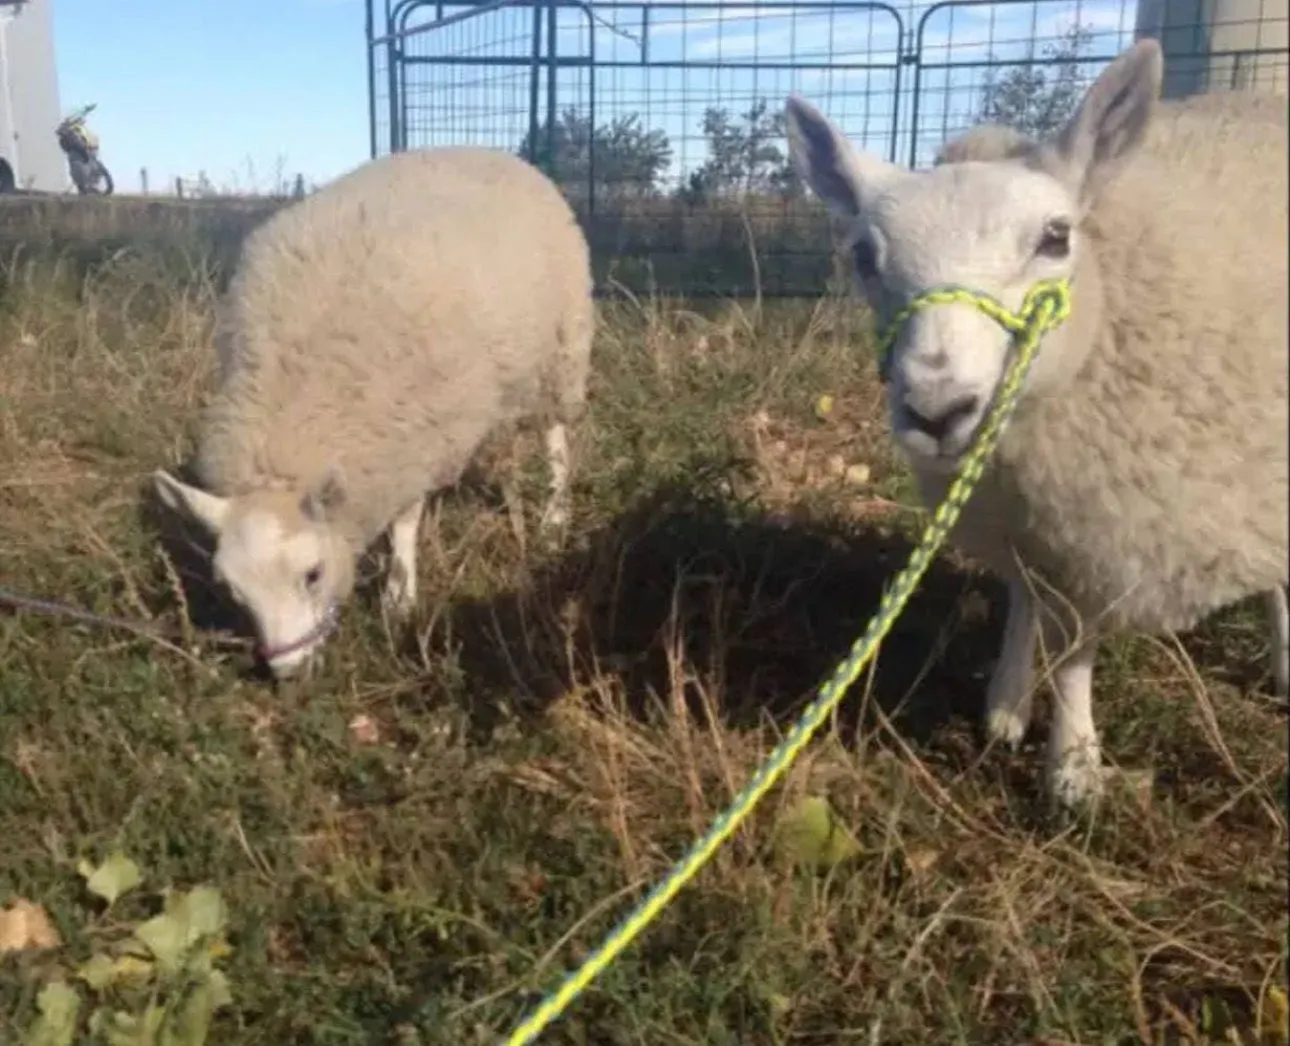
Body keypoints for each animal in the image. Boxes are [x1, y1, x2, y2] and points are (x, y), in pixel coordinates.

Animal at [154, 149, 593, 686]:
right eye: (234, 592)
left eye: (313, 574)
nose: (288, 672)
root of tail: (488, 151)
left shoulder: (414, 437)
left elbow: (404, 521)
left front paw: (399, 600)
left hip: (562, 348)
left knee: (555, 435)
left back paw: (553, 516)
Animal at [784, 40, 1290, 809]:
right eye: (864, 256)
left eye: (1056, 237)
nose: (936, 409)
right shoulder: (1021, 512)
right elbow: (1024, 594)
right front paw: (1007, 707)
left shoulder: (1101, 530)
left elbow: (1077, 651)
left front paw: (1073, 769)